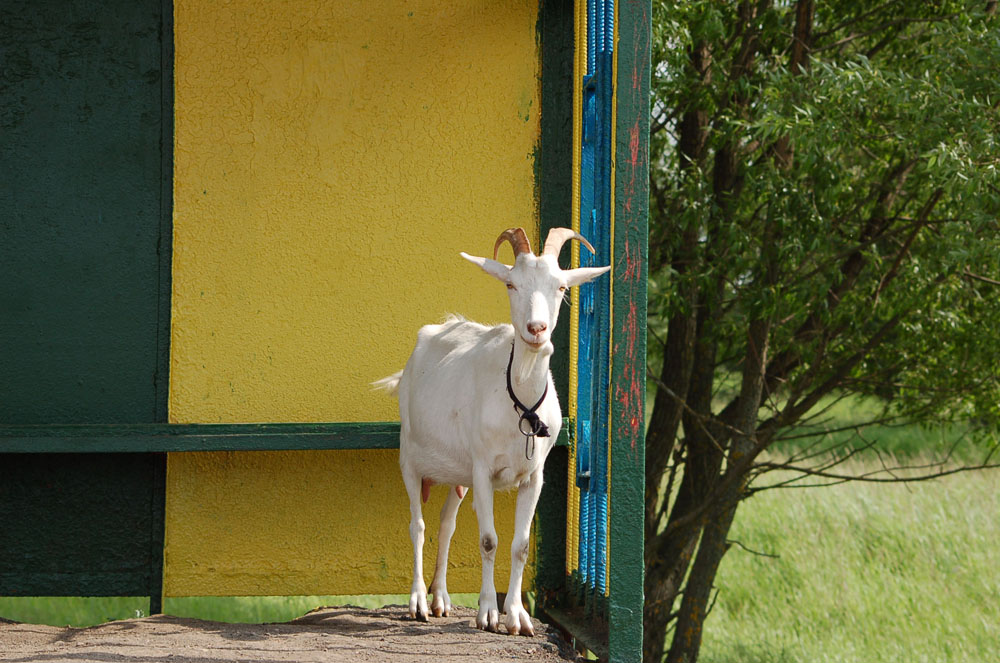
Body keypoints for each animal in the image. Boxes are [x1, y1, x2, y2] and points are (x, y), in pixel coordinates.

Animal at [376, 230, 608, 640]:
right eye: (511, 284)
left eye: (562, 287)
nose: (536, 330)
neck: (521, 403)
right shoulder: (483, 470)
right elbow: (488, 540)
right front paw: (487, 613)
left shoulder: (534, 476)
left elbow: (520, 546)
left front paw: (516, 616)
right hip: (410, 458)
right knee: (418, 524)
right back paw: (419, 601)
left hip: (458, 474)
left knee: (446, 524)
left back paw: (440, 598)